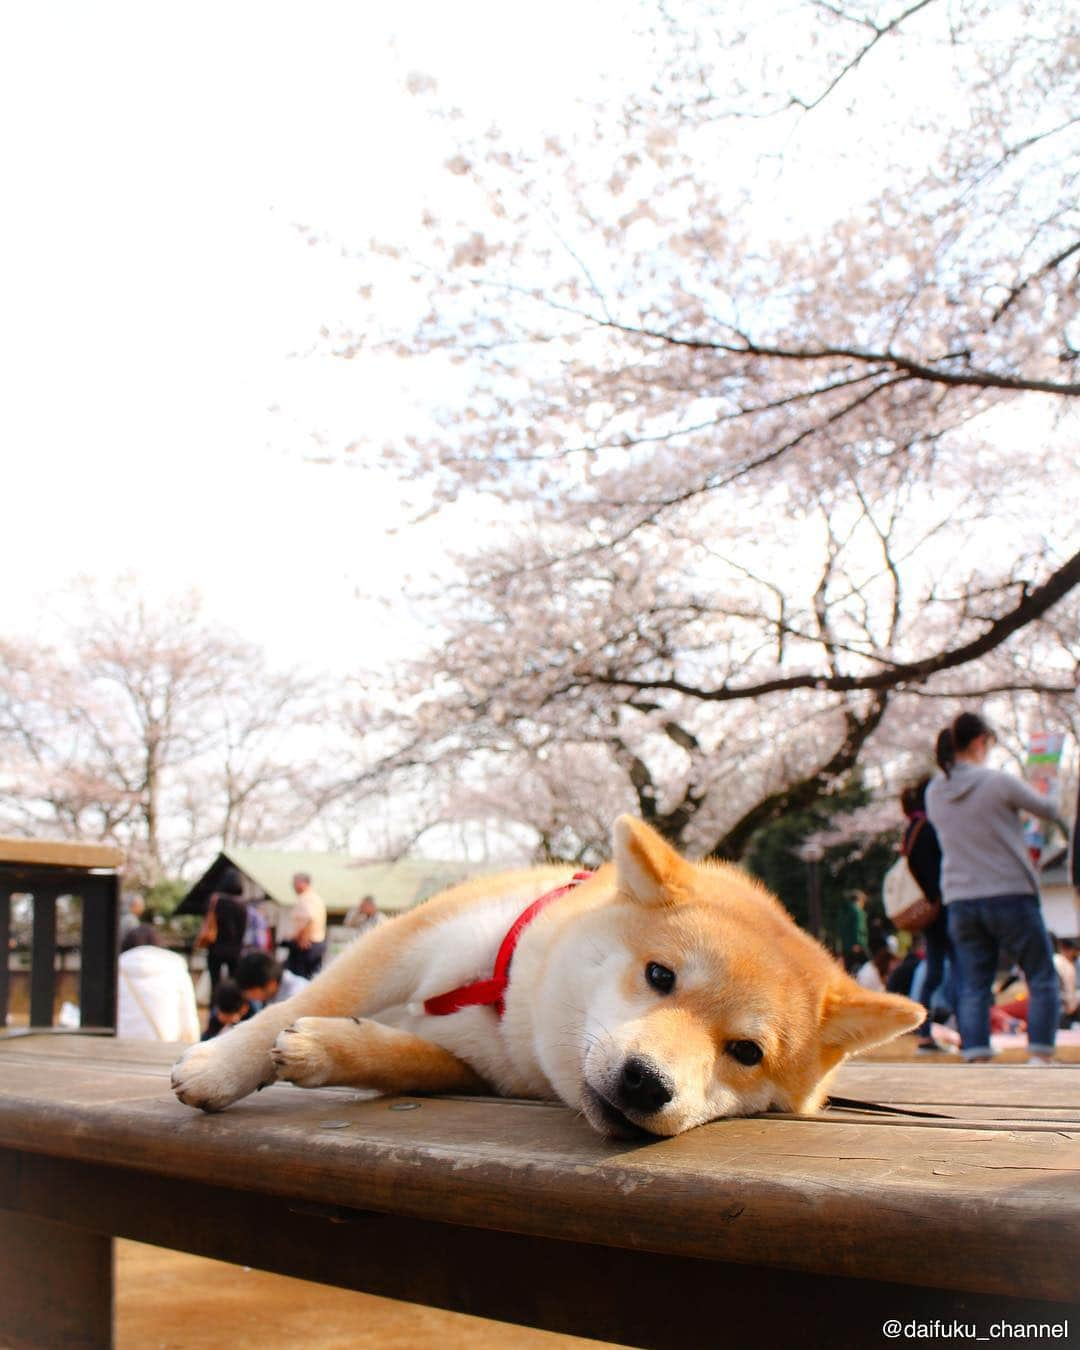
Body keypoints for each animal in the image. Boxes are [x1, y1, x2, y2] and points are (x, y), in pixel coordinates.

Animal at [172, 815, 923, 1134]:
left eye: (746, 1052)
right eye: (659, 975)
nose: (647, 1083)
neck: (513, 1007)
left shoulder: (478, 1068)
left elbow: (395, 1060)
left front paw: (325, 1048)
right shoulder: (412, 941)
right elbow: (306, 1002)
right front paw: (221, 1067)